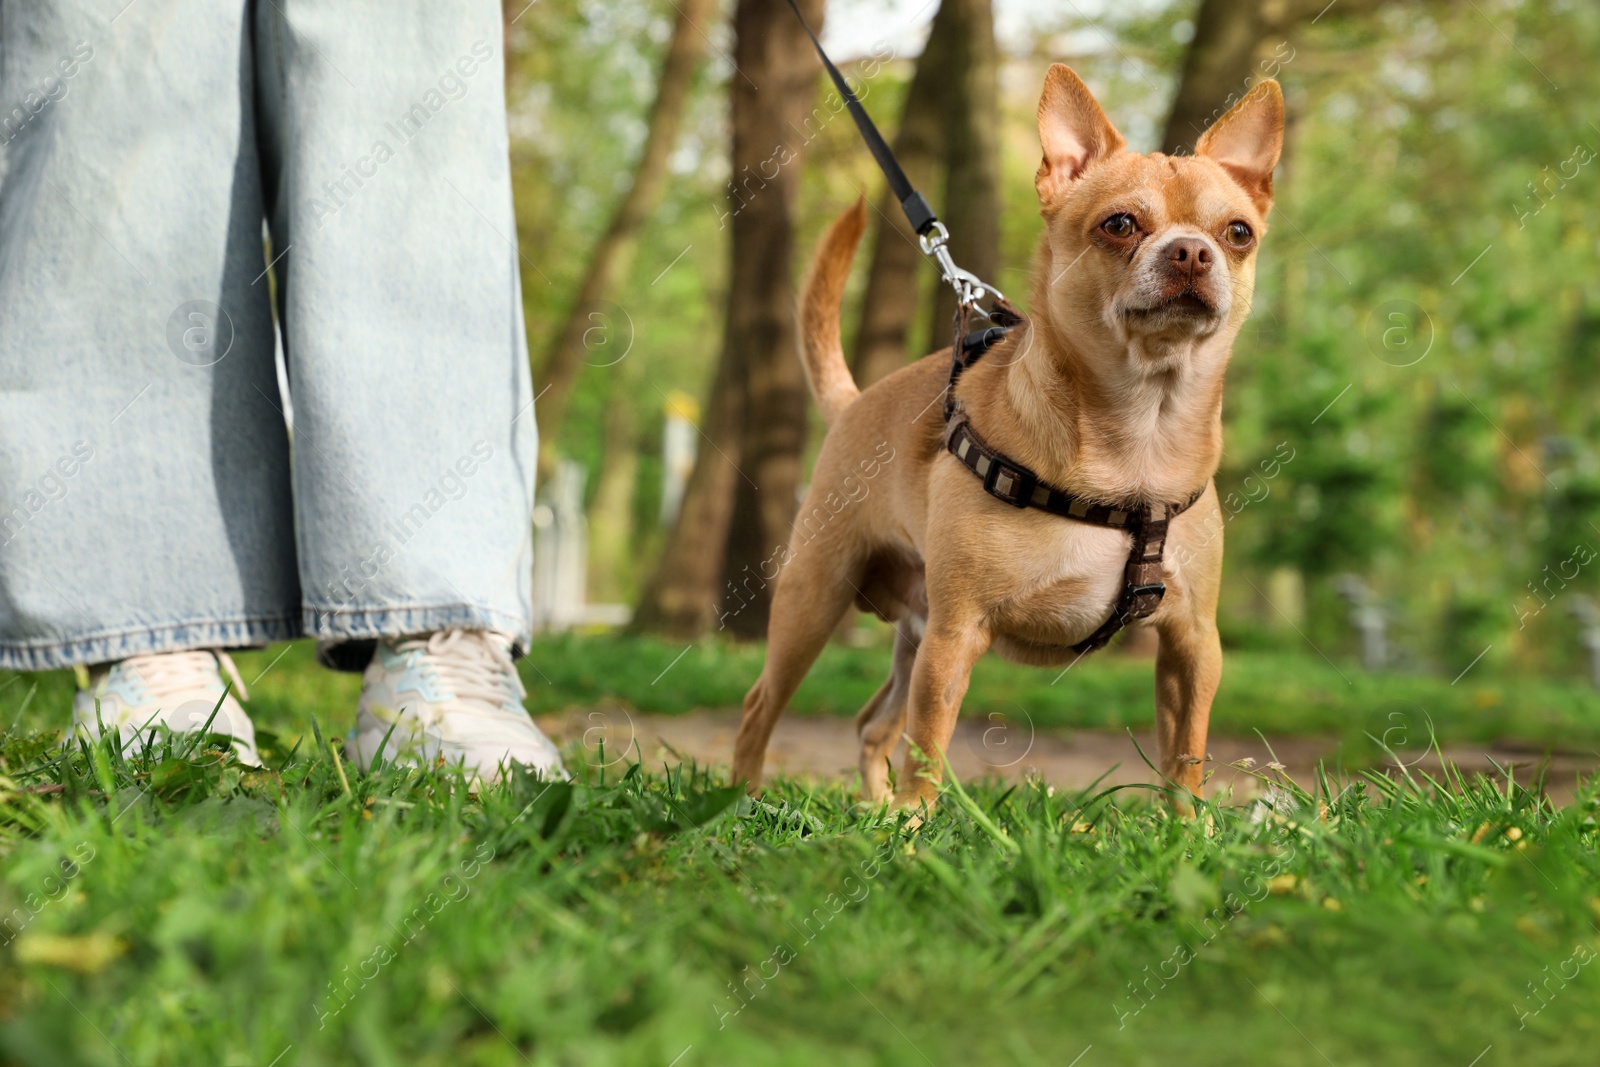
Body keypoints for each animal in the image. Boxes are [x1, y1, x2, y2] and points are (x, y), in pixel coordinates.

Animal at [732, 64, 1280, 809]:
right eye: (1119, 224)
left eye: (1237, 233)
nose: (1192, 251)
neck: (1140, 428)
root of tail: (854, 403)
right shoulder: (956, 637)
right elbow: (929, 752)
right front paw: (916, 825)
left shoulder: (1192, 646)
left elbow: (1185, 755)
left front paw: (1187, 828)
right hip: (815, 601)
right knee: (762, 706)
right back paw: (741, 799)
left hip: (912, 628)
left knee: (873, 725)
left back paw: (872, 812)